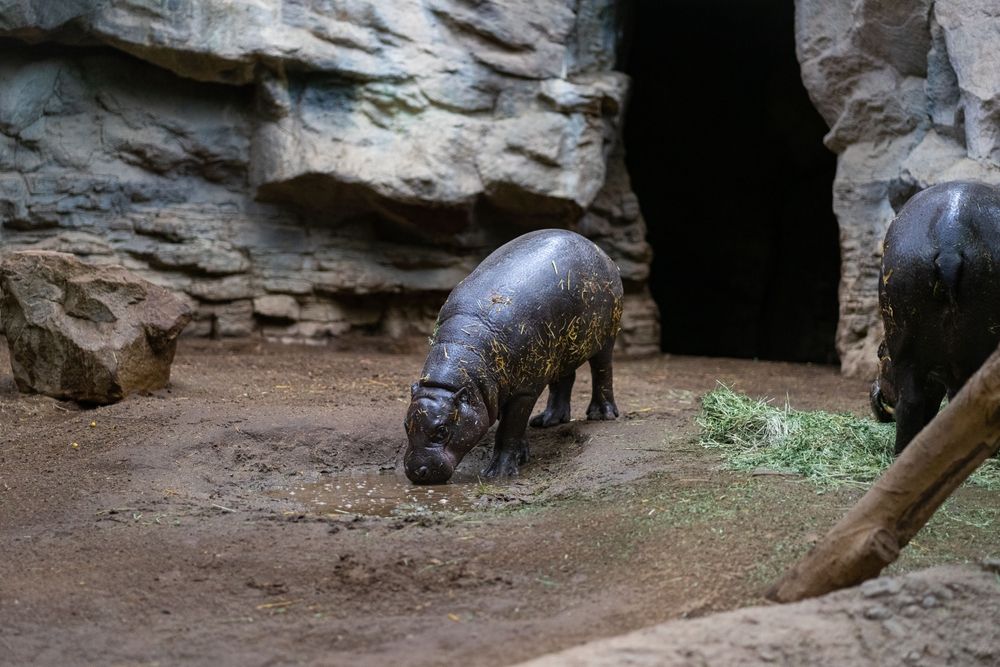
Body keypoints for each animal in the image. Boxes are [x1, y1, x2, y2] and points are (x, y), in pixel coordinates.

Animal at [403, 229, 624, 484]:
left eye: (442, 430)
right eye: (406, 425)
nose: (416, 471)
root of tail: (594, 246)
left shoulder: (523, 391)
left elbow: (509, 429)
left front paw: (499, 473)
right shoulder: (494, 391)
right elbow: (511, 424)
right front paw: (522, 454)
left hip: (606, 336)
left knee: (602, 371)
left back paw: (602, 415)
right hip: (560, 351)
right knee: (564, 380)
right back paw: (547, 420)